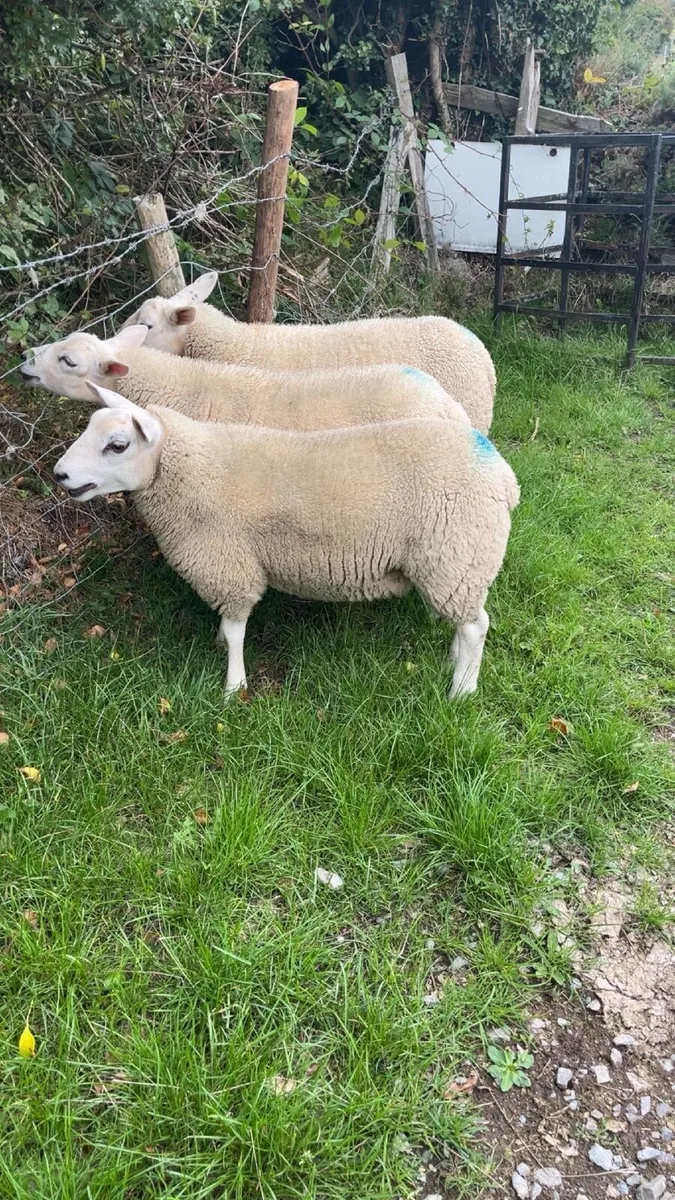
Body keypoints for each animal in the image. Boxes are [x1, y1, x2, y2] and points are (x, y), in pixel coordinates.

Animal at [53, 383, 519, 700]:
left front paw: (233, 686)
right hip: (457, 565)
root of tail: (503, 475)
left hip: (456, 556)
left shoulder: (231, 565)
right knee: (466, 621)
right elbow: (228, 627)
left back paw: (461, 690)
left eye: (117, 445)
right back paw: (453, 664)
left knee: (476, 626)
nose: (59, 474)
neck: (192, 470)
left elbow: (235, 630)